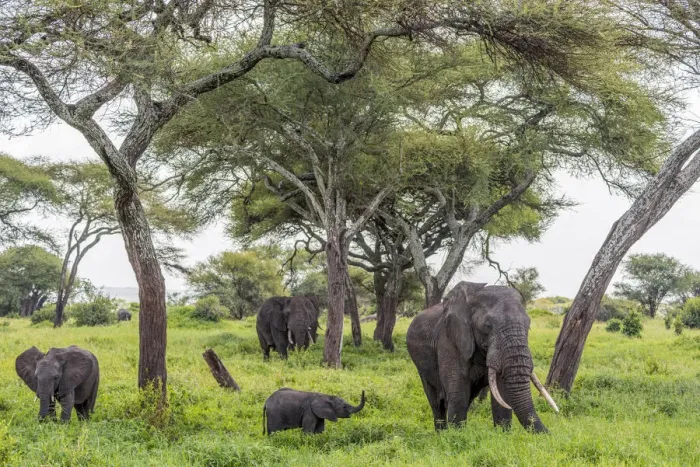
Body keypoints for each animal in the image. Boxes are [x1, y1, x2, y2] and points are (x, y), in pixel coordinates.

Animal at [406, 282, 558, 433]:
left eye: (528, 325)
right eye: (487, 326)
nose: (551, 434)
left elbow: (501, 394)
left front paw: (502, 433)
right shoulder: (449, 340)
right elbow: (458, 393)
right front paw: (457, 435)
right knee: (437, 402)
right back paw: (441, 433)